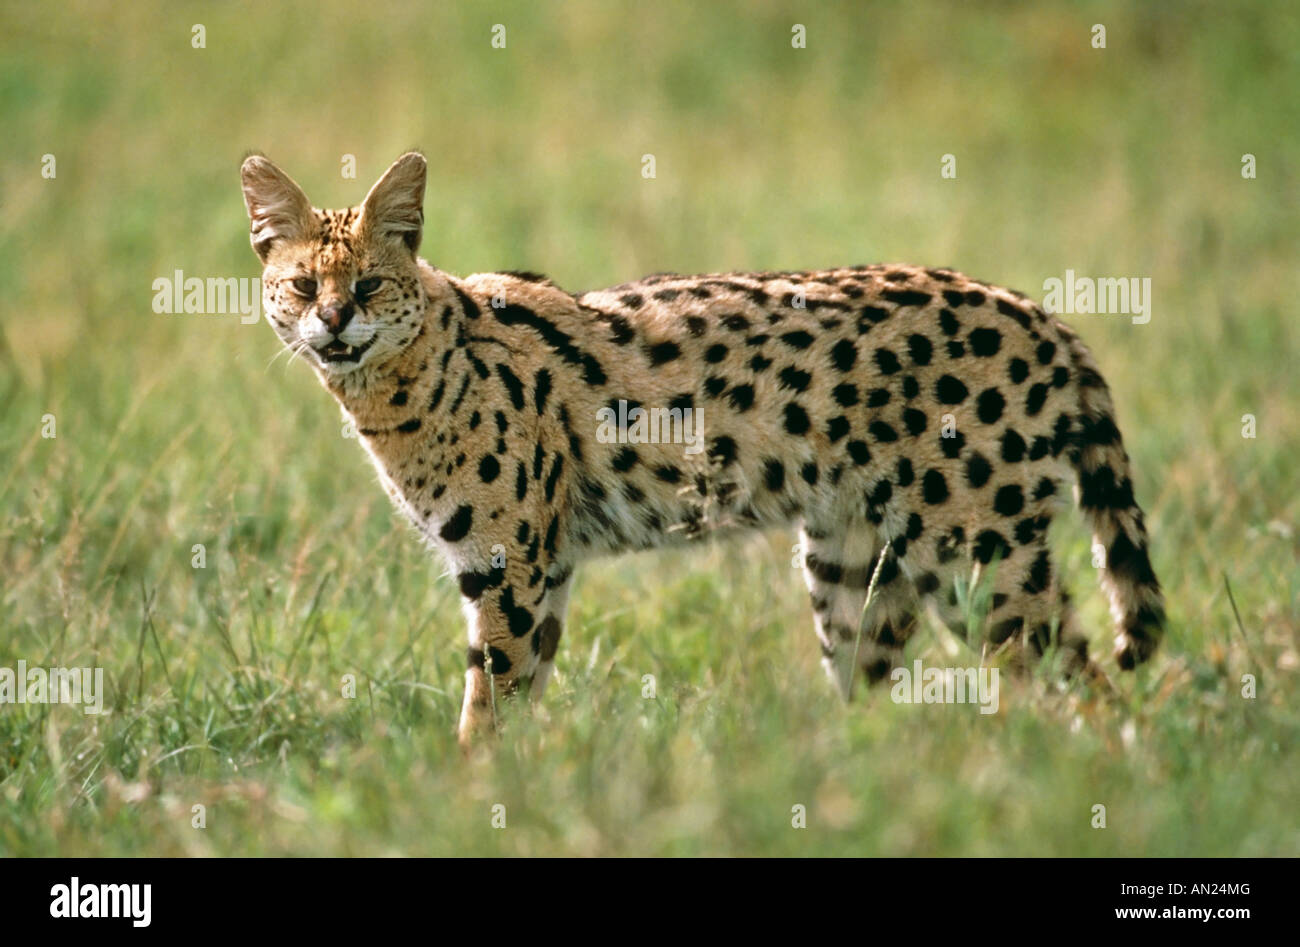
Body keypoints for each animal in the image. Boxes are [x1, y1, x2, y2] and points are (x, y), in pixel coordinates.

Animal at [239, 151, 1164, 744]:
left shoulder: (508, 563)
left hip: (977, 554)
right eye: (302, 285)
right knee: (873, 700)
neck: (406, 381)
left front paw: (469, 798)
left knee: (1091, 685)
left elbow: (488, 702)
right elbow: (523, 694)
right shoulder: (545, 567)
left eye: (368, 284)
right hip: (853, 563)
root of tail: (1041, 314)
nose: (334, 322)